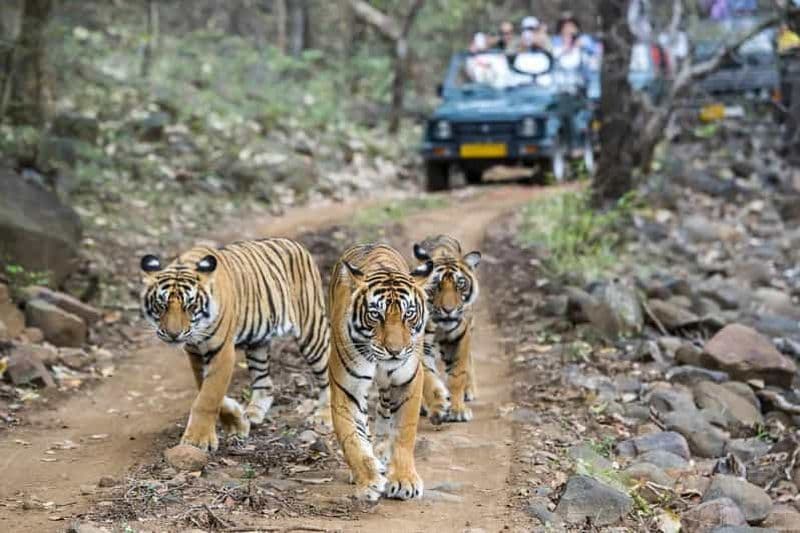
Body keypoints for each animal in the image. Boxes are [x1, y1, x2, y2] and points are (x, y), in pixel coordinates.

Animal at [139, 238, 330, 452]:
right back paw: (254, 413)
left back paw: (324, 416)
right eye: (161, 305)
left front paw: (198, 439)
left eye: (190, 306)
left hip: (312, 330)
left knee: (327, 373)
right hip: (258, 342)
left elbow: (209, 396)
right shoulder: (195, 353)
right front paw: (237, 422)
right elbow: (206, 389)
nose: (173, 334)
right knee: (265, 382)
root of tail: (295, 244)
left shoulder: (222, 351)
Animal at [328, 243, 432, 501]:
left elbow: (404, 433)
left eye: (408, 314)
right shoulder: (347, 388)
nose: (395, 351)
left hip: (388, 386)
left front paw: (404, 480)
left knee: (385, 412)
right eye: (376, 315)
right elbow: (352, 438)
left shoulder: (408, 381)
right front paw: (368, 481)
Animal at [413, 235, 481, 424]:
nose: (449, 310)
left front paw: (458, 410)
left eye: (460, 285)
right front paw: (438, 407)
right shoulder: (421, 343)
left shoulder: (460, 337)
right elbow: (428, 377)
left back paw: (469, 391)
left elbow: (457, 374)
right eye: (436, 286)